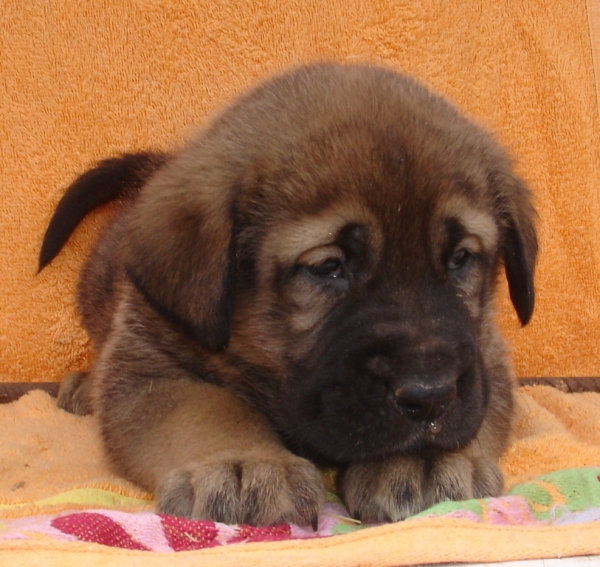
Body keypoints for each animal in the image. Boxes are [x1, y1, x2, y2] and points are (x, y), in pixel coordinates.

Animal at [37, 60, 536, 524]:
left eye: (461, 258)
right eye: (328, 267)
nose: (430, 394)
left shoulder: (487, 357)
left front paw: (420, 459)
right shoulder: (151, 364)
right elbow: (208, 408)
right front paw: (244, 464)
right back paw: (84, 385)